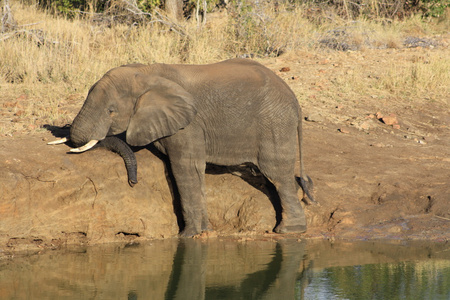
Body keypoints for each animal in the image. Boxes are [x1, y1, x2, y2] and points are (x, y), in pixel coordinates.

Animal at [48, 58, 312, 237]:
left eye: (111, 111)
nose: (133, 182)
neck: (145, 73)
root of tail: (294, 98)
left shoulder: (189, 124)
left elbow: (186, 168)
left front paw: (189, 236)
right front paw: (202, 231)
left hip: (275, 124)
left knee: (278, 175)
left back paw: (289, 231)